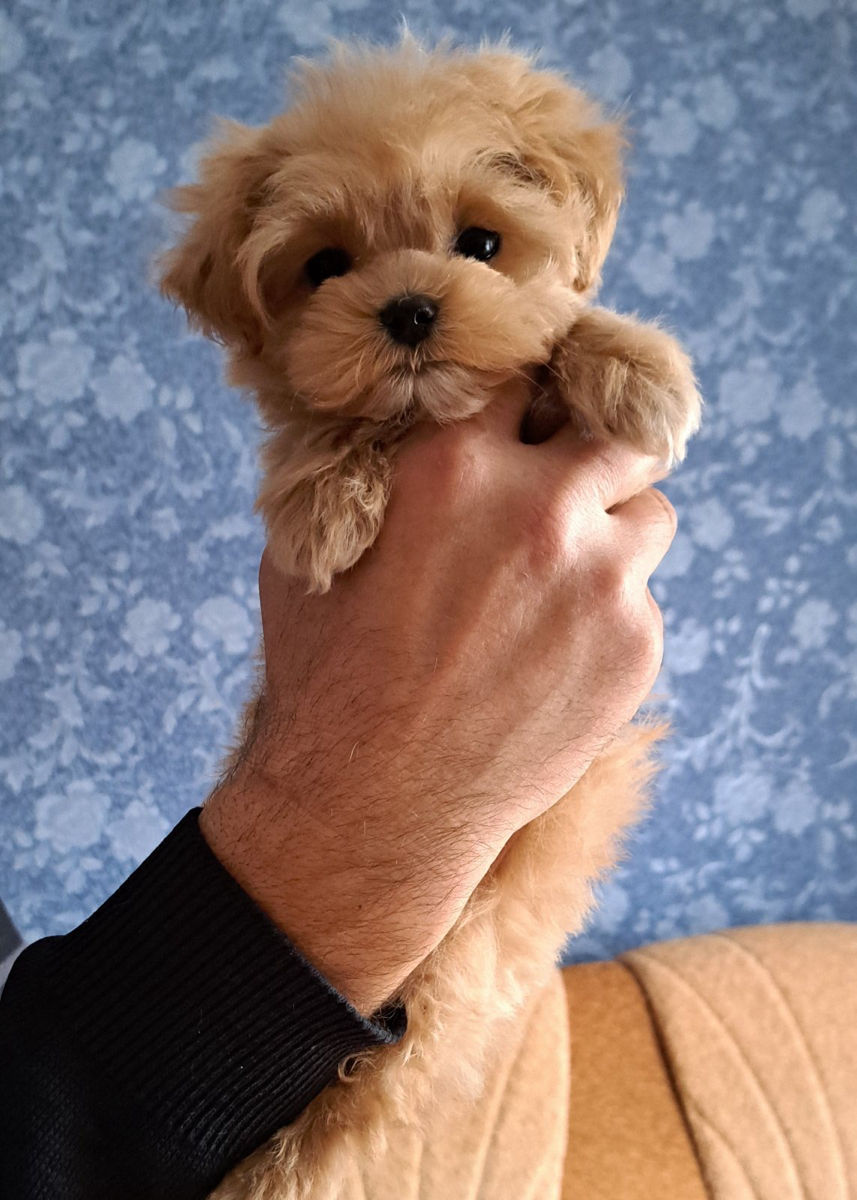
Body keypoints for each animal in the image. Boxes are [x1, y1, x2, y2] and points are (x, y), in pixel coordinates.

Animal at [158, 28, 700, 1200]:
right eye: (325, 266)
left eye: (482, 243)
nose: (408, 309)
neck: (427, 419)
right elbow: (317, 426)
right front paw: (324, 499)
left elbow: (567, 326)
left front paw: (633, 365)